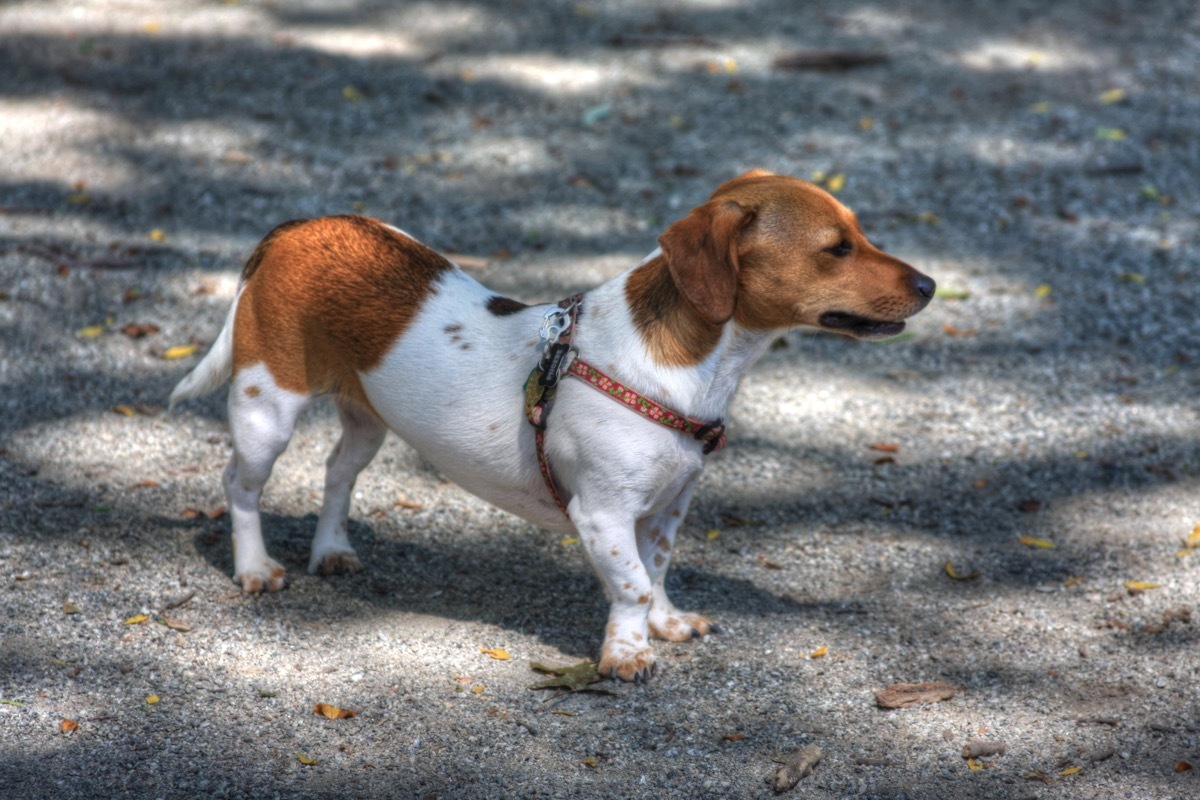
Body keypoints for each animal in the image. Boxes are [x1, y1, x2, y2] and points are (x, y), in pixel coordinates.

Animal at [171, 169, 936, 681]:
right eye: (836, 248)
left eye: (859, 233)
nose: (931, 284)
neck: (689, 363)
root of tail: (296, 230)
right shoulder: (601, 514)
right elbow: (630, 583)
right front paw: (626, 655)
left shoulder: (666, 507)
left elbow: (656, 570)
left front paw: (663, 626)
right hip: (266, 408)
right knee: (240, 485)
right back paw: (255, 567)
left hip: (368, 418)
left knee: (336, 472)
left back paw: (331, 549)